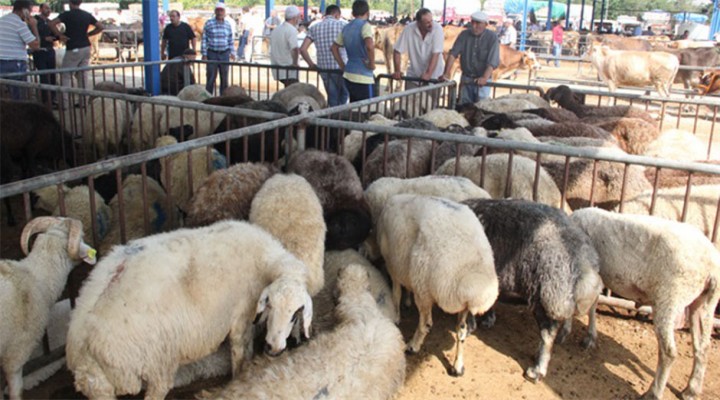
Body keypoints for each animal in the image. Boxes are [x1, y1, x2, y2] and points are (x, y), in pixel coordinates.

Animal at [66, 220, 314, 398]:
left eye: (295, 315)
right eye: (269, 304)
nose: (273, 348)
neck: (267, 262)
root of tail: (83, 343)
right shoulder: (241, 320)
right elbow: (239, 355)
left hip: (103, 386)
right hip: (158, 359)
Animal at [374, 194, 498, 376]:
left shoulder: (393, 266)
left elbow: (396, 293)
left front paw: (396, 316)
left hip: (423, 286)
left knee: (426, 324)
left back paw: (413, 346)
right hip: (461, 305)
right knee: (461, 330)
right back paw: (457, 367)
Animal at [572, 209, 716, 400]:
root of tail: (711, 265)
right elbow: (593, 305)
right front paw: (590, 337)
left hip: (670, 296)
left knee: (669, 352)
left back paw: (654, 392)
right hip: (704, 302)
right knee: (703, 346)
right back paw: (691, 390)